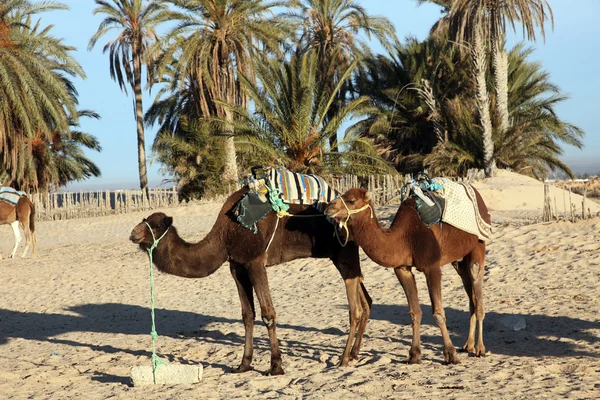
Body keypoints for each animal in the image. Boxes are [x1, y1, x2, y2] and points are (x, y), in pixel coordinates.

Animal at [131, 188, 370, 376]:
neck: (224, 235)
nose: (133, 233)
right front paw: (243, 365)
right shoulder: (237, 266)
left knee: (357, 303)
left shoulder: (255, 262)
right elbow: (247, 315)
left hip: (344, 253)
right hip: (340, 257)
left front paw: (276, 366)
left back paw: (345, 358)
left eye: (155, 224)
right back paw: (355, 353)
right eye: (144, 220)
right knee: (366, 299)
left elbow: (268, 313)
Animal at [326, 188, 490, 366]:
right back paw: (468, 345)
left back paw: (480, 348)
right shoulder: (402, 269)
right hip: (458, 259)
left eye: (351, 200)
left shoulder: (432, 267)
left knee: (476, 277)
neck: (404, 238)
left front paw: (450, 354)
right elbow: (414, 311)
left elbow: (438, 313)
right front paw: (414, 355)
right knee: (470, 292)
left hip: (478, 244)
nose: (328, 208)